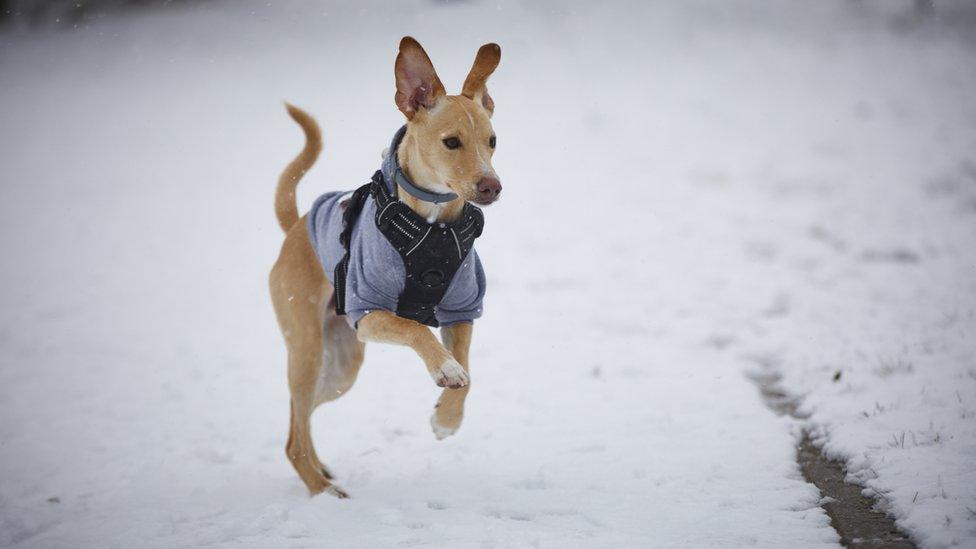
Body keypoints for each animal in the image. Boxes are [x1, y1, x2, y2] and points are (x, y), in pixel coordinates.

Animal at [268, 37, 504, 496]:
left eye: (492, 140)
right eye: (452, 142)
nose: (492, 186)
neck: (431, 226)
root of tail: (298, 226)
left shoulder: (462, 308)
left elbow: (468, 368)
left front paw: (448, 418)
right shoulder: (369, 312)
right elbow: (416, 329)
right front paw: (443, 367)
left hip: (340, 367)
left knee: (296, 418)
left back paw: (321, 470)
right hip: (308, 348)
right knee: (293, 436)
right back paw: (321, 490)